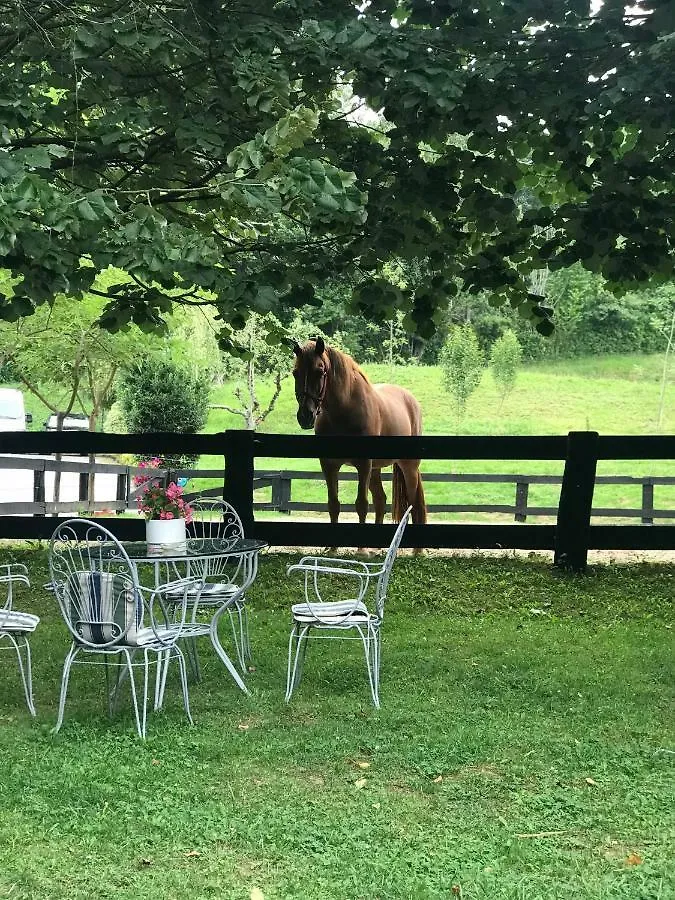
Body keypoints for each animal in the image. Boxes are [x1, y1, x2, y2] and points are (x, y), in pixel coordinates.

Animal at [292, 342, 428, 532]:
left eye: (320, 371)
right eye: (295, 372)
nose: (305, 416)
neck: (344, 409)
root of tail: (411, 400)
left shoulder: (363, 464)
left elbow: (361, 505)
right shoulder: (329, 465)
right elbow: (333, 505)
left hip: (408, 467)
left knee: (414, 504)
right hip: (375, 468)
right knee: (380, 500)